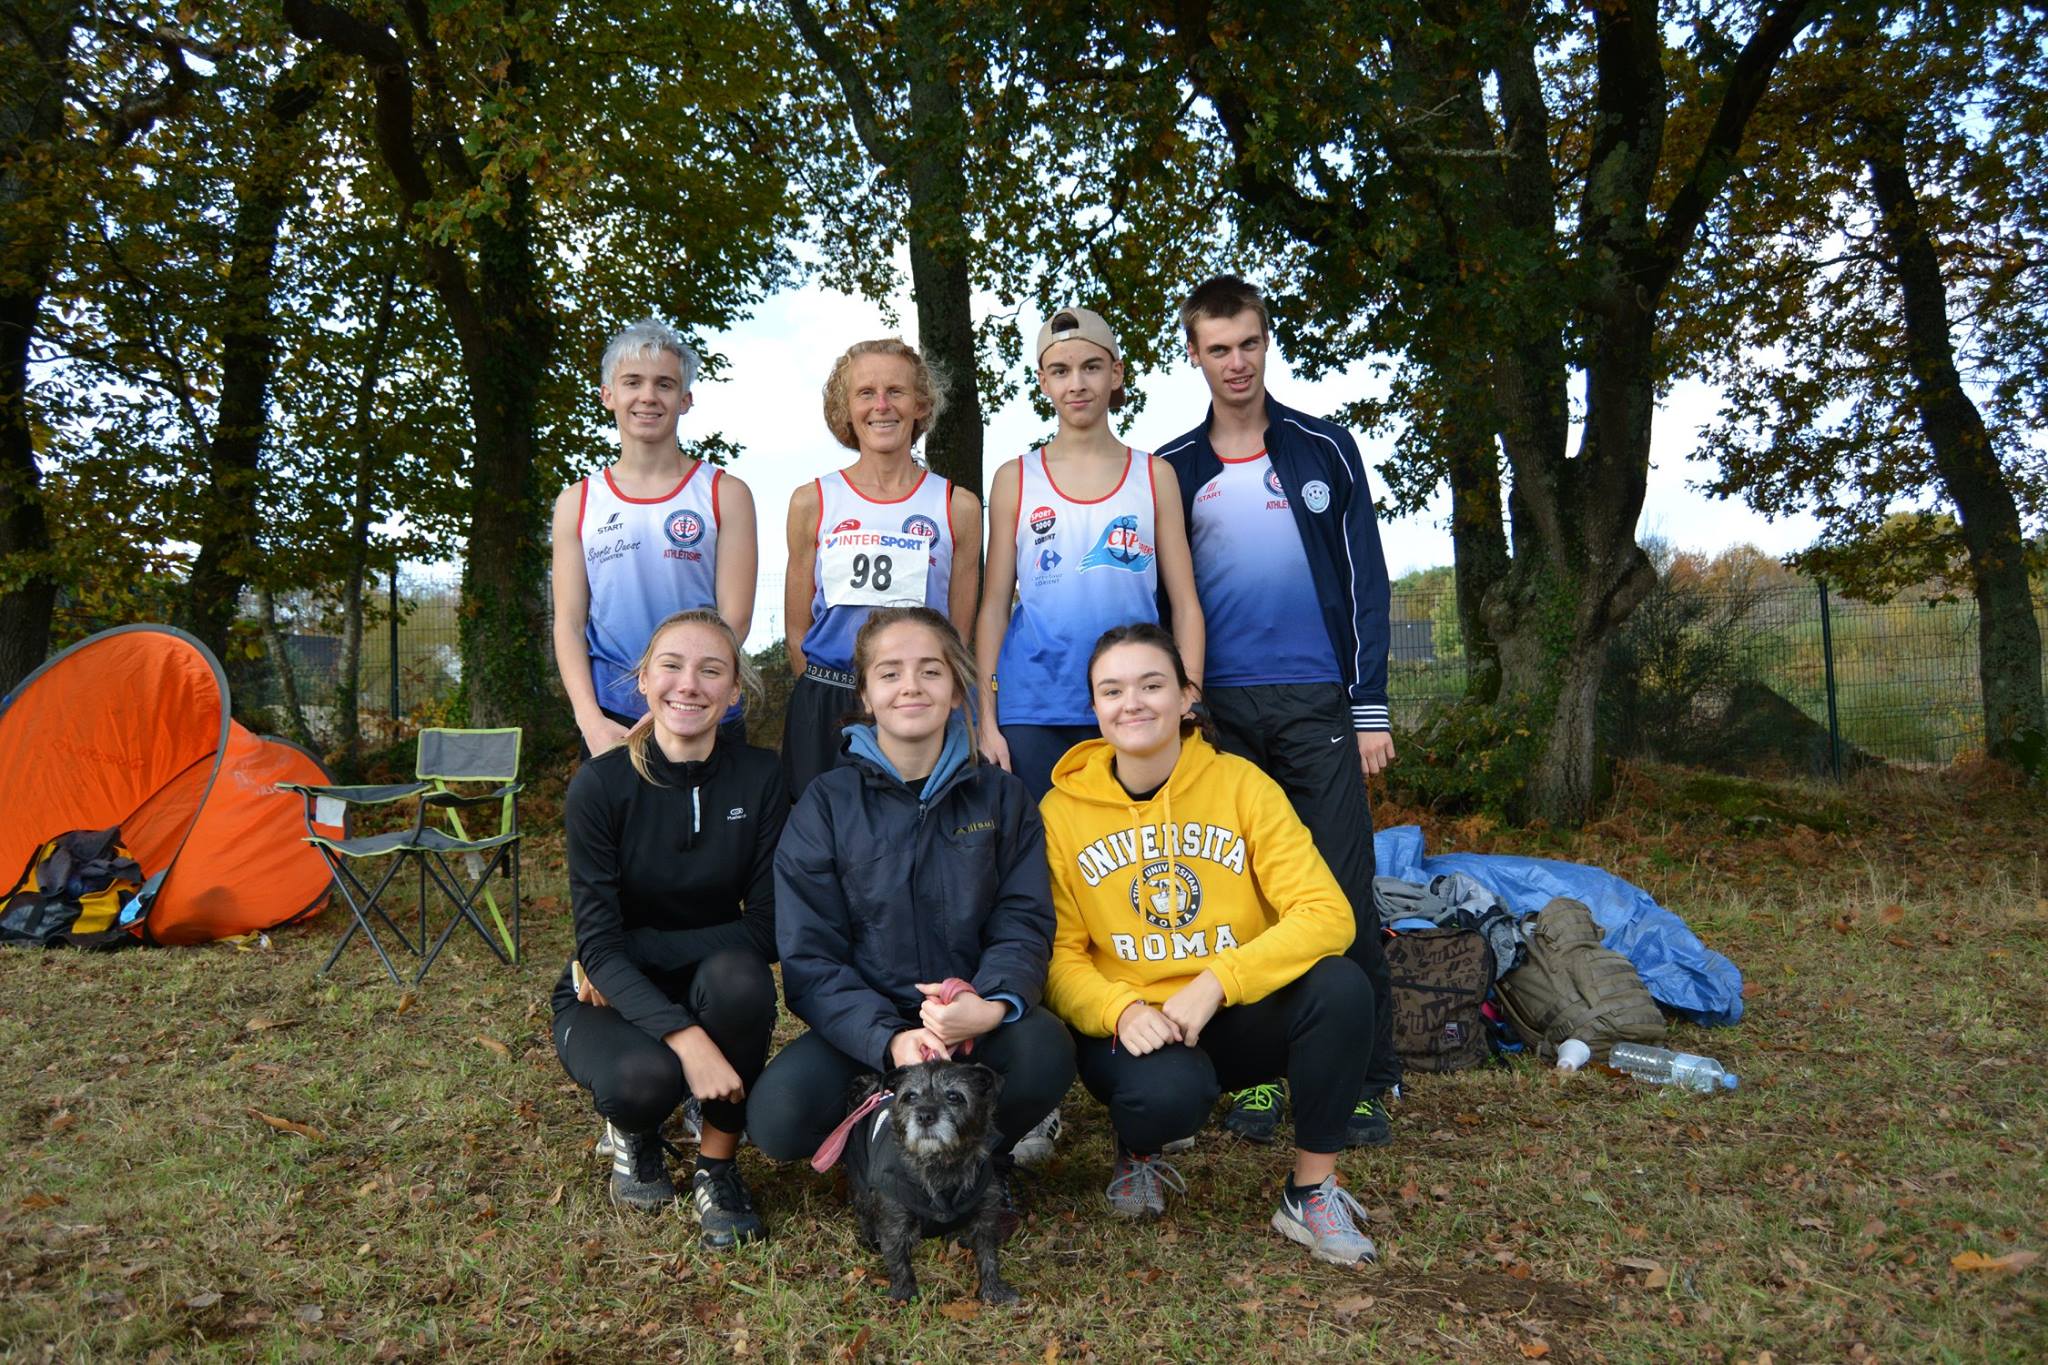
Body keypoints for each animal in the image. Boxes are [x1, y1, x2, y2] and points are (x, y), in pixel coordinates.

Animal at [841, 1059, 1018, 1305]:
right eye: (910, 1096)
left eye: (954, 1096)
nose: (924, 1115)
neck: (941, 1163)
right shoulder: (895, 1221)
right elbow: (898, 1260)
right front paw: (904, 1295)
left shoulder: (985, 1216)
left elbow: (988, 1254)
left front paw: (994, 1291)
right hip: (862, 1184)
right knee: (863, 1212)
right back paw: (869, 1241)